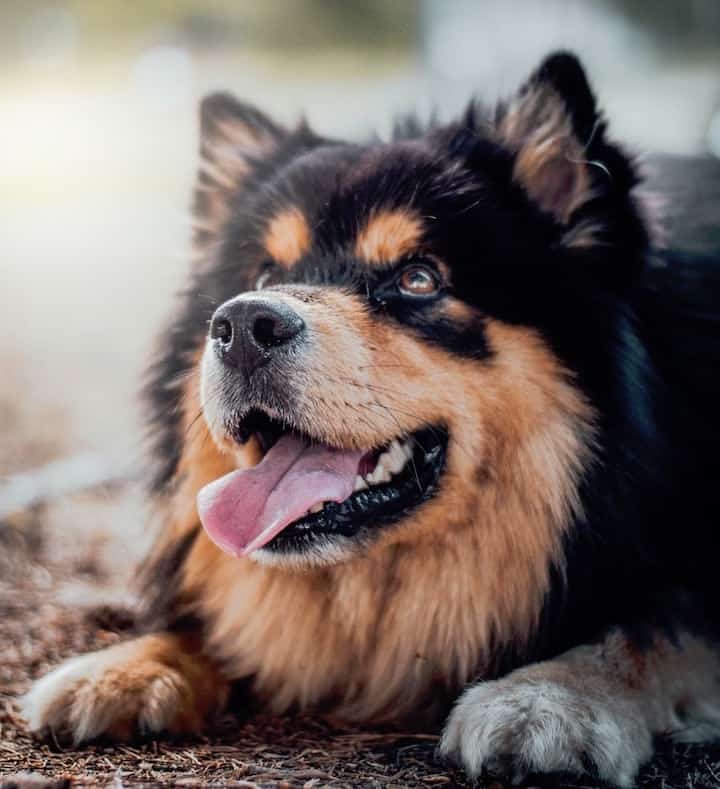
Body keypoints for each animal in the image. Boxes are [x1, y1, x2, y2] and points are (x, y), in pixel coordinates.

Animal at [21, 52, 720, 784]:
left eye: (418, 279)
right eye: (262, 276)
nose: (241, 326)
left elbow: (653, 628)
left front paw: (552, 695)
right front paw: (126, 667)